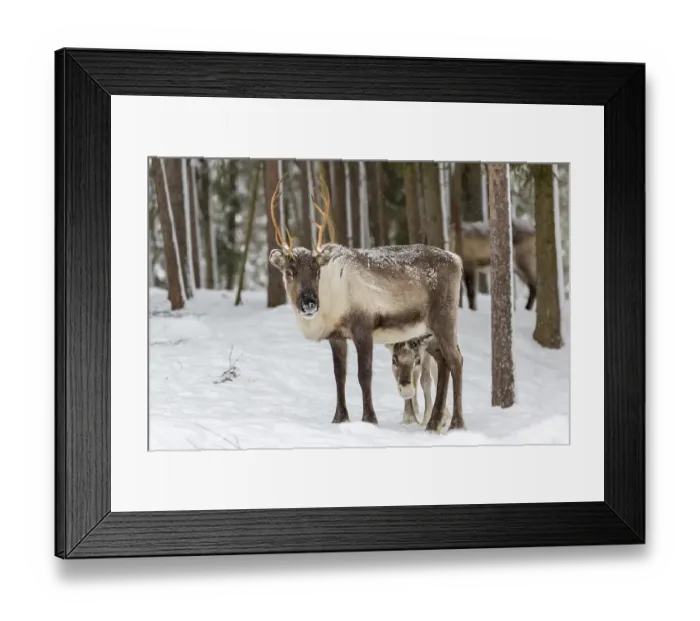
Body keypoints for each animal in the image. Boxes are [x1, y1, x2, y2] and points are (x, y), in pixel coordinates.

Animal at [267, 173, 466, 432]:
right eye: (289, 272)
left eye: (316, 271)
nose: (309, 303)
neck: (332, 299)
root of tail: (457, 260)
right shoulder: (337, 337)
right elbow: (339, 376)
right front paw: (339, 418)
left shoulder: (363, 328)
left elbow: (364, 375)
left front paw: (369, 418)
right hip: (428, 332)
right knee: (442, 362)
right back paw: (433, 423)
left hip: (445, 320)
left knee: (456, 361)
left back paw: (456, 423)